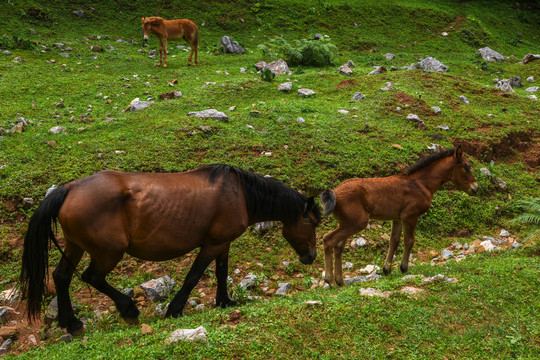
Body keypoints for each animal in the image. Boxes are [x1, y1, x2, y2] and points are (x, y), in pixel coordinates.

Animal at [19, 165, 320, 336]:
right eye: (312, 222)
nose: (311, 257)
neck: (241, 194)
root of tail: (69, 189)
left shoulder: (223, 243)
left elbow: (221, 272)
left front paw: (225, 302)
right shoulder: (212, 244)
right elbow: (194, 276)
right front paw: (175, 309)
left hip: (76, 246)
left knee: (61, 277)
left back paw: (71, 323)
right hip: (108, 253)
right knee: (92, 277)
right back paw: (128, 309)